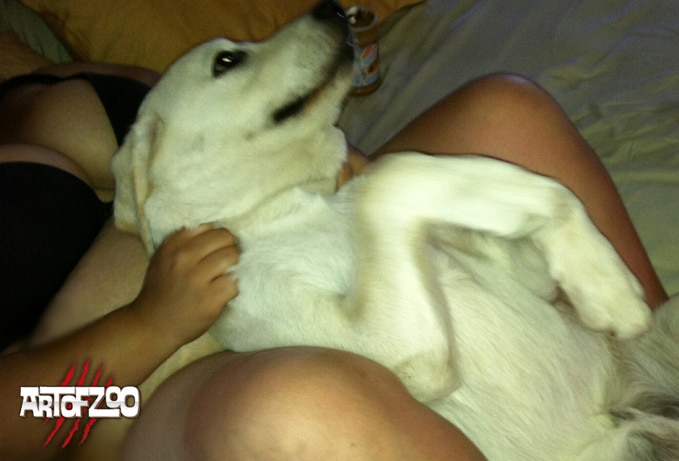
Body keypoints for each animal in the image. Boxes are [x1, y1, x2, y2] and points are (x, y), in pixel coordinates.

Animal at [112, 1, 679, 459]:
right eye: (226, 61)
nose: (332, 7)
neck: (287, 204)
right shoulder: (391, 340)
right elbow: (390, 173)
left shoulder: (524, 276)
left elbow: (528, 193)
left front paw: (603, 283)